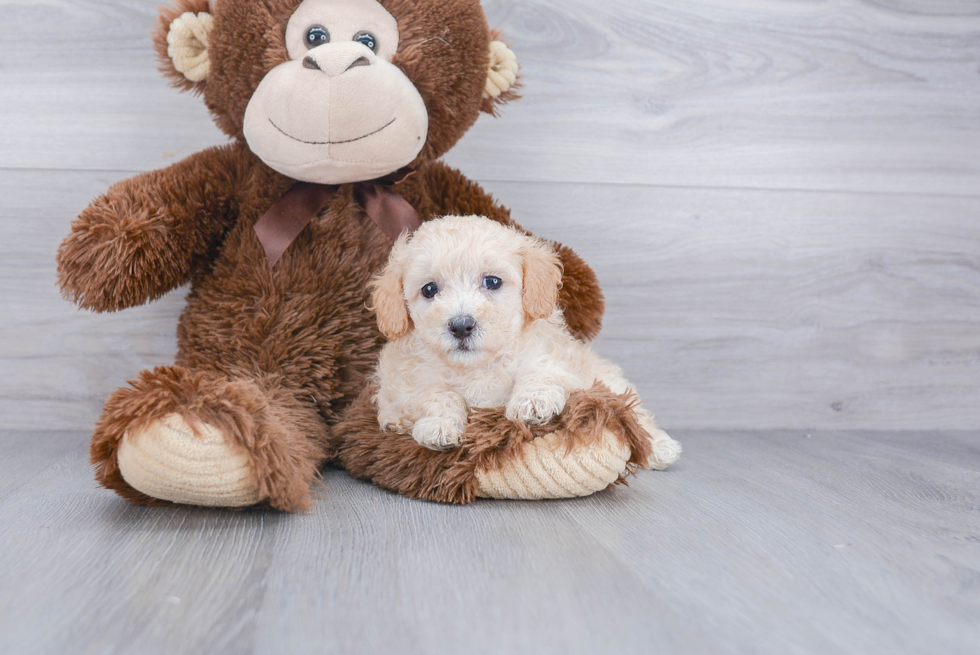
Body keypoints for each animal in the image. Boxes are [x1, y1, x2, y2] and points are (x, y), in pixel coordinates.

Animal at [368, 215, 680, 466]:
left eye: (492, 282)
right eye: (429, 290)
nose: (460, 326)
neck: (477, 366)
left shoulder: (559, 363)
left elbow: (539, 373)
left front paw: (532, 402)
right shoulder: (403, 387)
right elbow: (437, 394)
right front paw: (439, 425)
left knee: (633, 410)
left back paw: (660, 446)